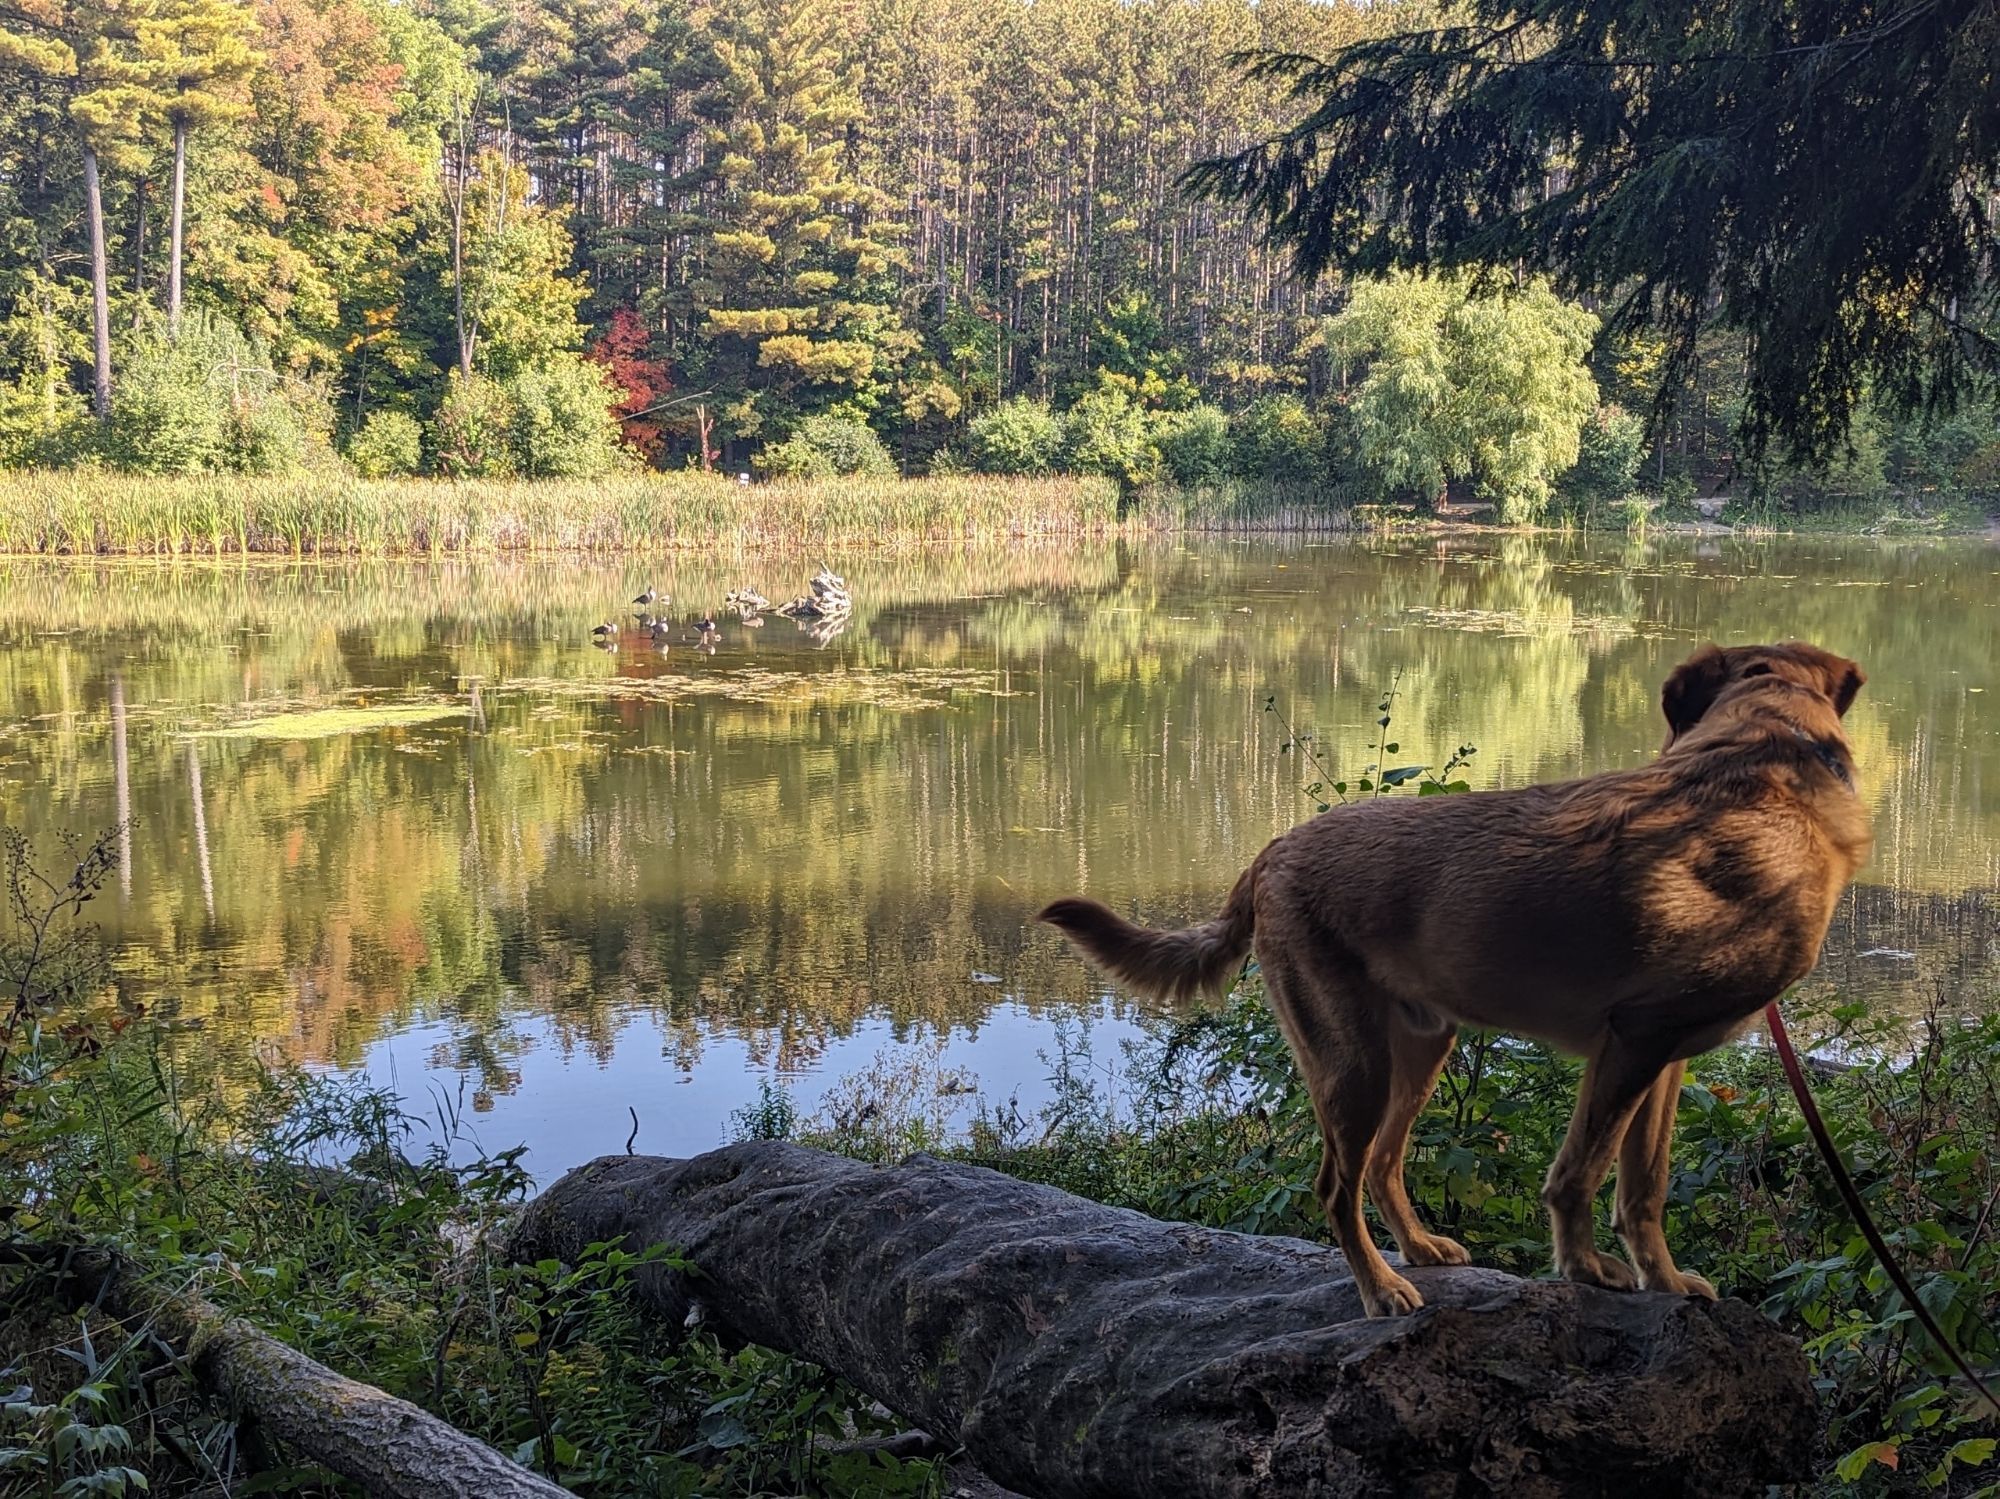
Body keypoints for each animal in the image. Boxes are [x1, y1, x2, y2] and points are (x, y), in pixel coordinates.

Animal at [1040, 639, 1864, 1319]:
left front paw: (1663, 1281)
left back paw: (1417, 1249)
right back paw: (1380, 1289)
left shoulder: (1662, 1056)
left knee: (1382, 1164)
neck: (1766, 765)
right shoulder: (1635, 1042)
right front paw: (1587, 1268)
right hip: (1354, 1065)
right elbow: (1581, 1172)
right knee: (1337, 1185)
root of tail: (1268, 852)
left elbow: (1645, 1185)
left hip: (1417, 1052)